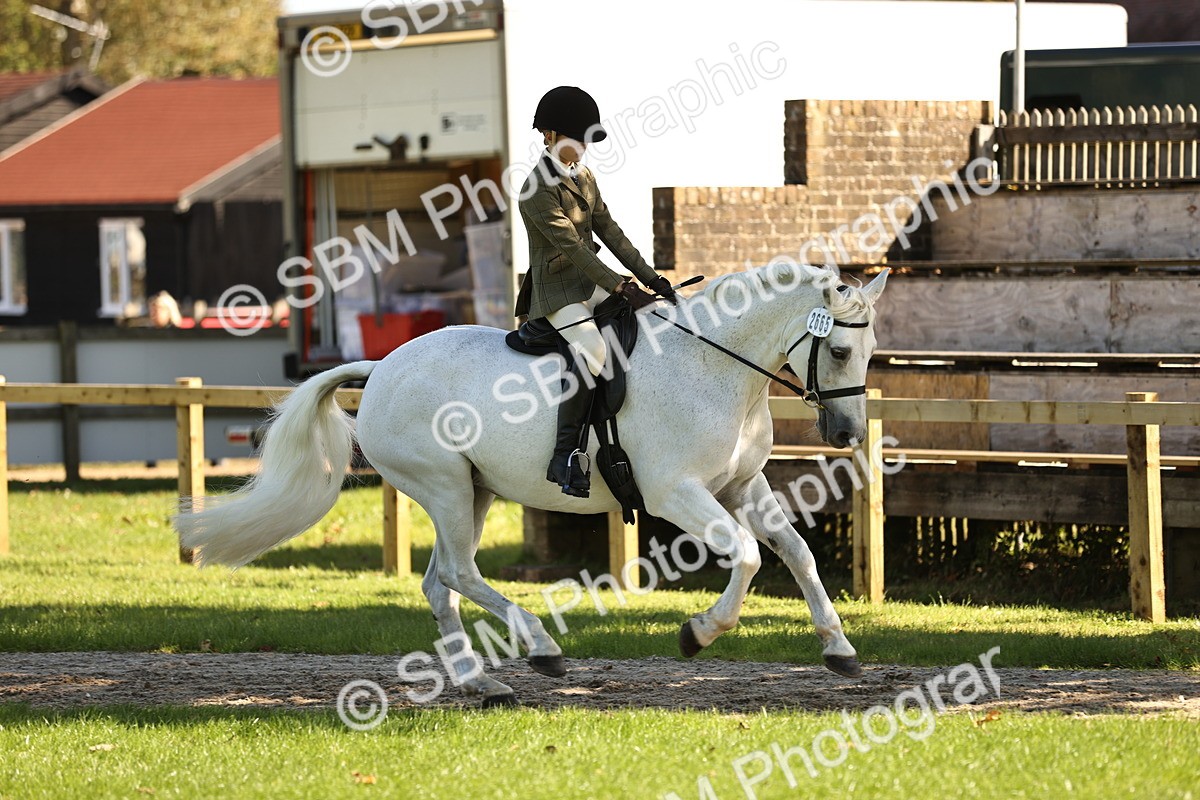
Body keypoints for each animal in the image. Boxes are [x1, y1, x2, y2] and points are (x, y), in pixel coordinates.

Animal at [175, 262, 889, 707]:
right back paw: (540, 648)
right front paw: (699, 633)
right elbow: (745, 555)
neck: (712, 364)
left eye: (868, 351)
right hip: (444, 487)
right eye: (841, 351)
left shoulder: (744, 485)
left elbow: (796, 553)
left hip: (474, 492)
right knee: (458, 573)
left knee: (440, 582)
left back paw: (481, 684)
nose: (847, 431)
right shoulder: (677, 493)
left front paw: (839, 647)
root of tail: (380, 368)